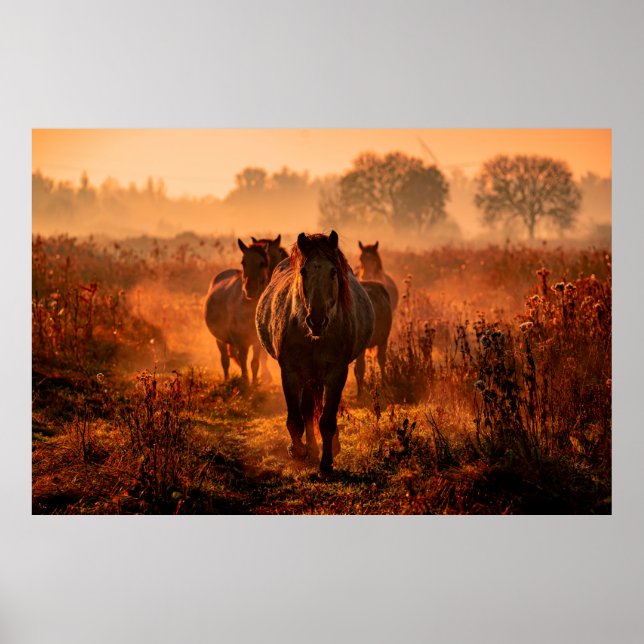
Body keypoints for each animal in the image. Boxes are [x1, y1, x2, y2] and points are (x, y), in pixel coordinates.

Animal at [204, 239, 270, 385]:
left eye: (262, 263)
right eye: (243, 262)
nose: (250, 290)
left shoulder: (256, 342)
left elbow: (254, 363)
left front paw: (255, 383)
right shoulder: (240, 341)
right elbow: (243, 360)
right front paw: (245, 382)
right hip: (220, 339)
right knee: (225, 360)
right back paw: (227, 380)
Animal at [255, 231, 375, 472]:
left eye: (333, 271)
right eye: (303, 271)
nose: (317, 321)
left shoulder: (337, 373)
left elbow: (327, 420)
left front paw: (327, 462)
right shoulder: (290, 372)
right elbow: (296, 419)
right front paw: (298, 450)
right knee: (308, 411)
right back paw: (309, 450)